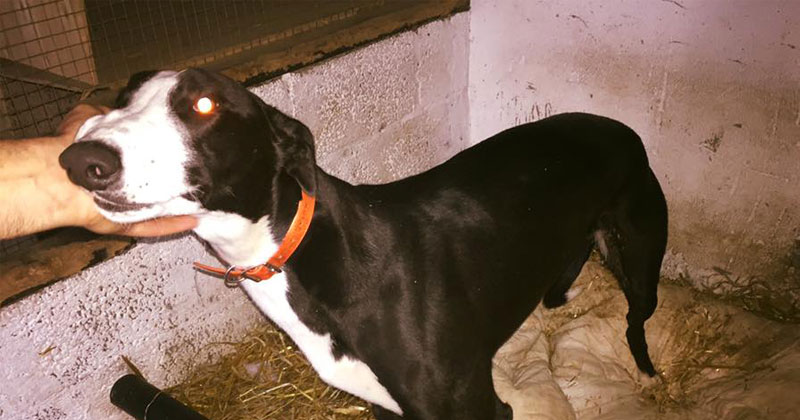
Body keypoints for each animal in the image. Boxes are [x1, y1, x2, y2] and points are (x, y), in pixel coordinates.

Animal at [57, 67, 668, 418]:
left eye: (204, 105)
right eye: (123, 95)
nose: (79, 160)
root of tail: (616, 125)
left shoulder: (477, 408)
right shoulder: (387, 408)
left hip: (642, 255)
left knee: (636, 320)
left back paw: (647, 374)